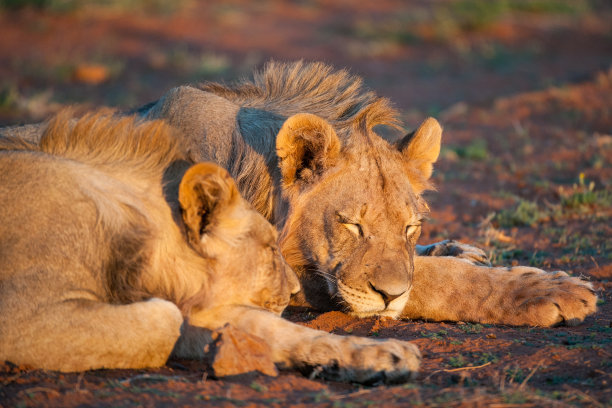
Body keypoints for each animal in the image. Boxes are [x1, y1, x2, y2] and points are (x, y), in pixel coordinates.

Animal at [0, 111, 420, 382]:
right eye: (269, 248)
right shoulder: (22, 317)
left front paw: (376, 357)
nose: (295, 291)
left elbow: (271, 329)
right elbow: (162, 319)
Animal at [135, 60, 596, 326]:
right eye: (352, 226)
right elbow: (431, 280)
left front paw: (451, 250)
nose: (389, 296)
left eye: (410, 227)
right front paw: (550, 291)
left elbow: (420, 265)